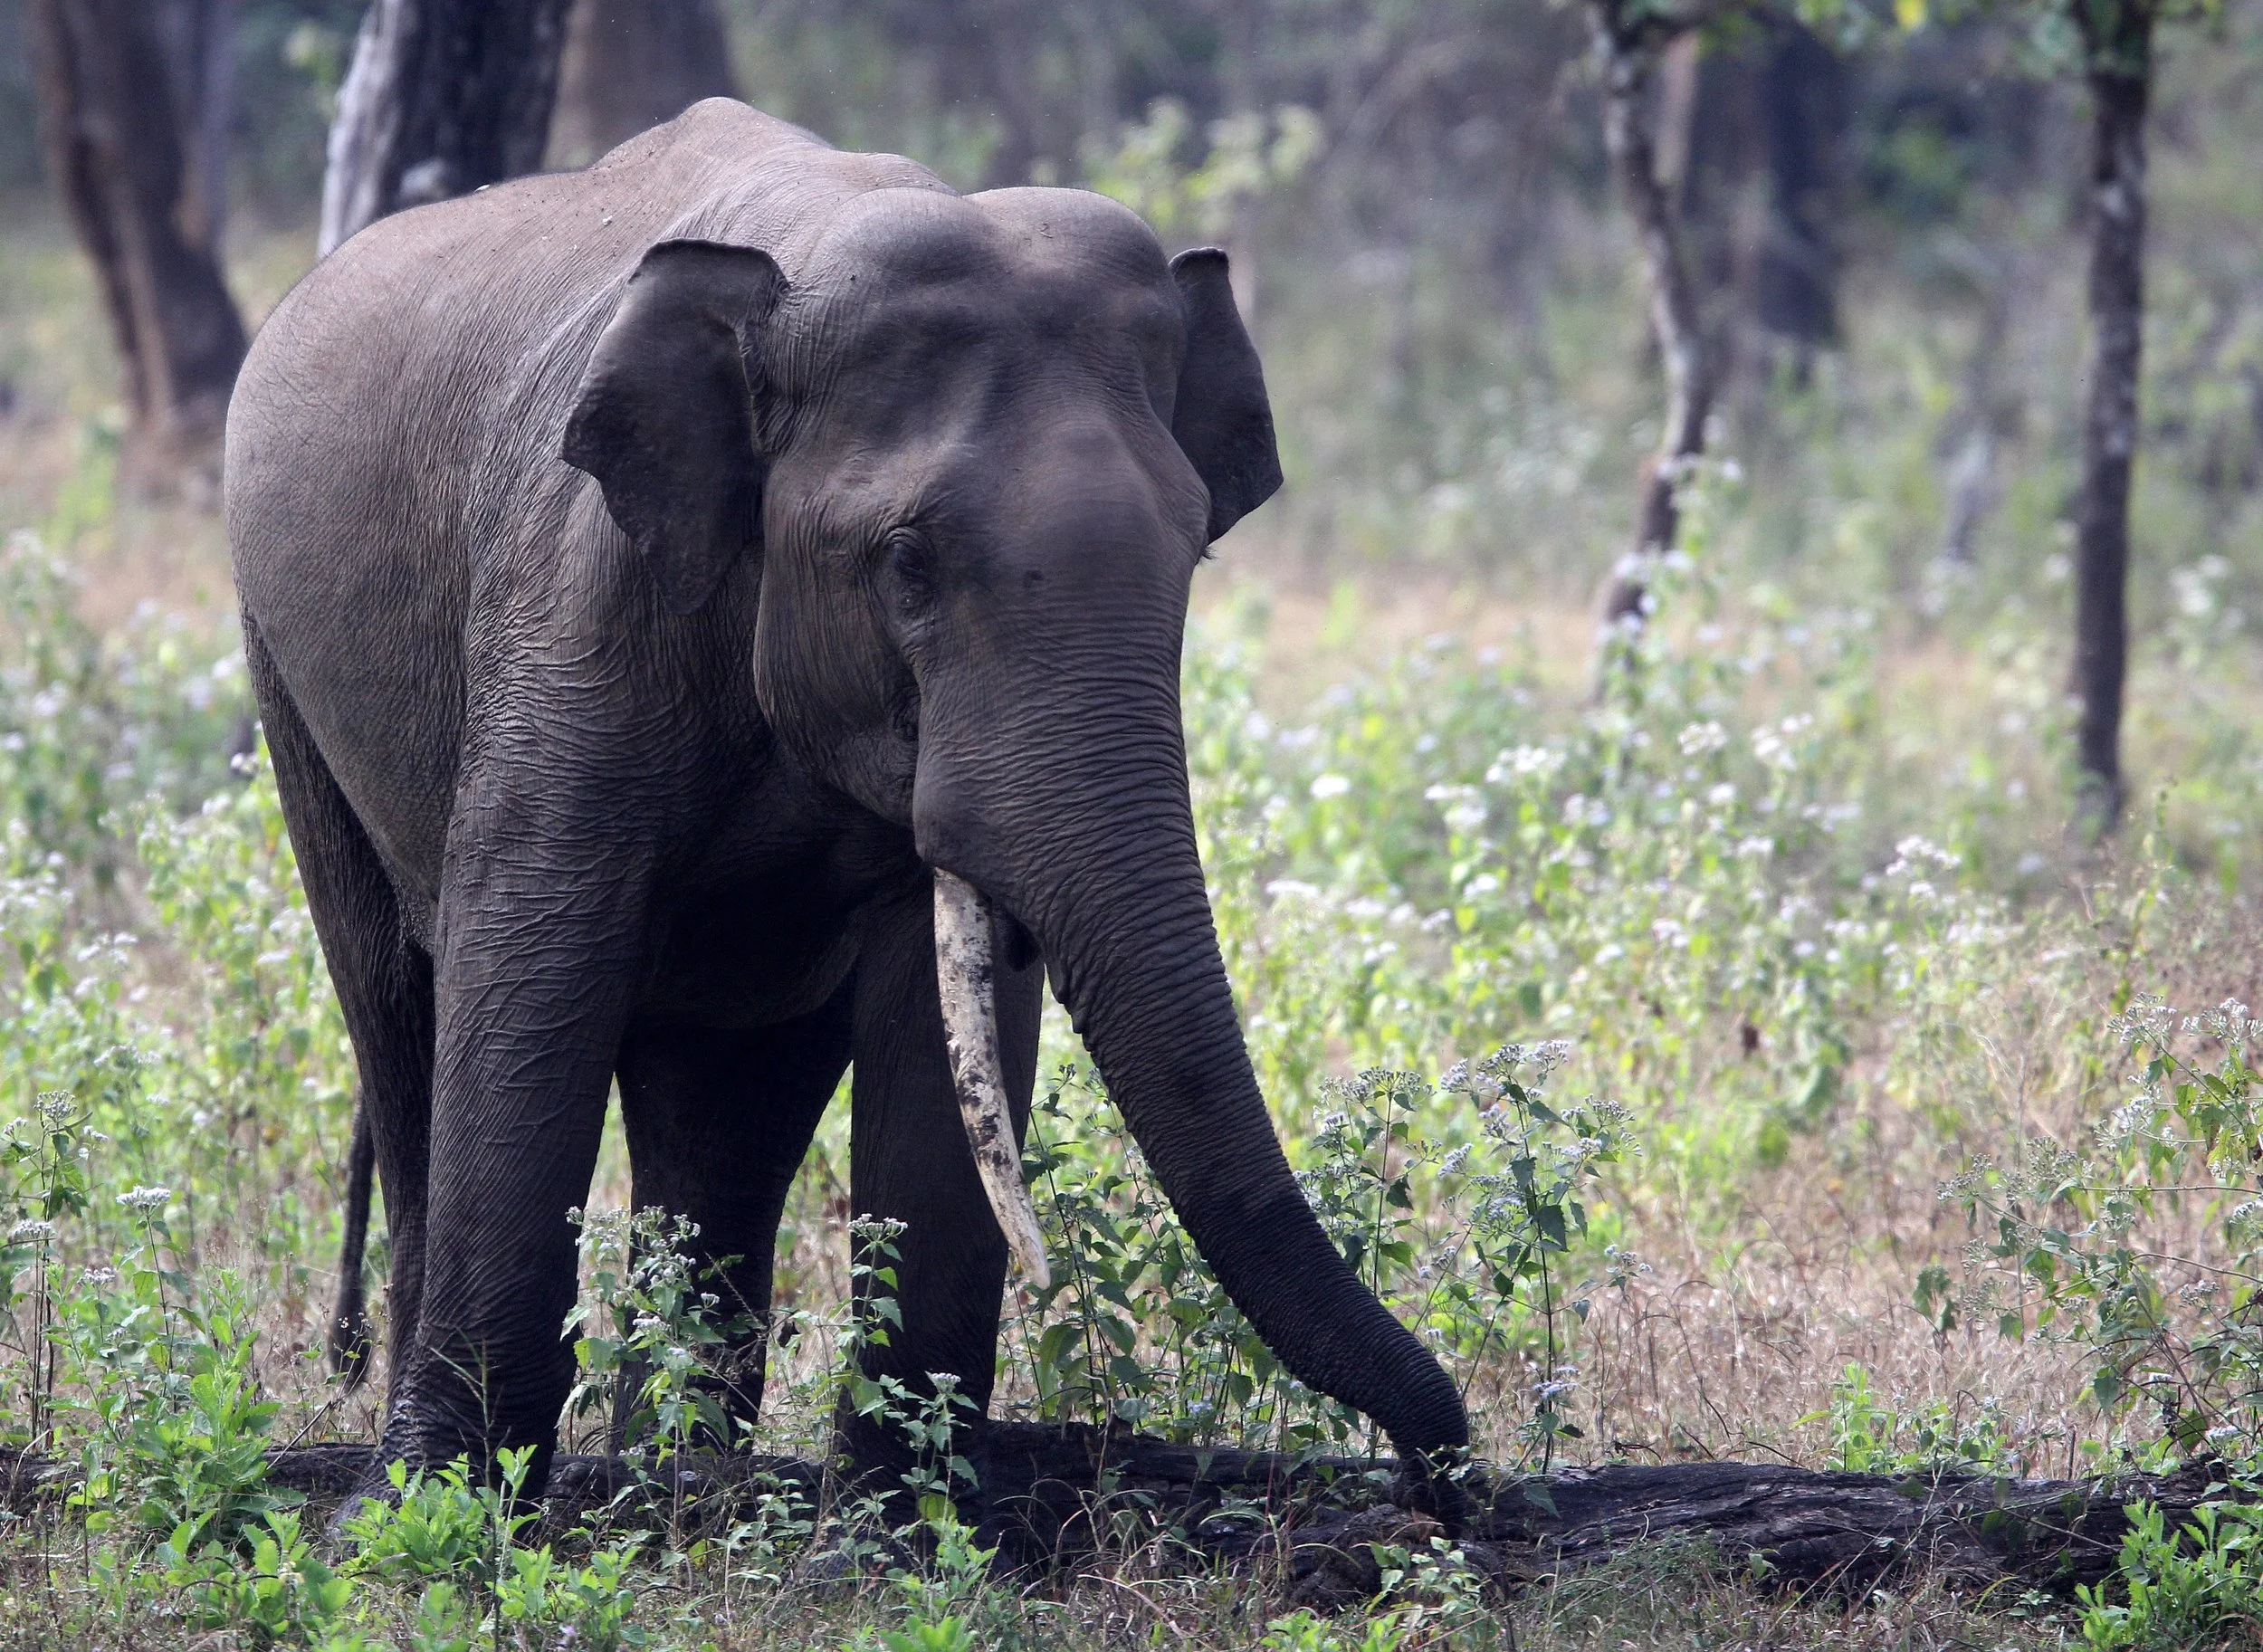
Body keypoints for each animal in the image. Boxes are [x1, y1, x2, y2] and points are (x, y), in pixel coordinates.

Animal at [225, 99, 1468, 1509]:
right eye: (907, 565)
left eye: (1196, 549)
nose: (1440, 1477)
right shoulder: (573, 621)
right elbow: (531, 975)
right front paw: (436, 1514)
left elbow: (946, 1027)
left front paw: (896, 1523)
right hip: (283, 666)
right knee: (398, 1012)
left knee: (725, 1110)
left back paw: (679, 1477)